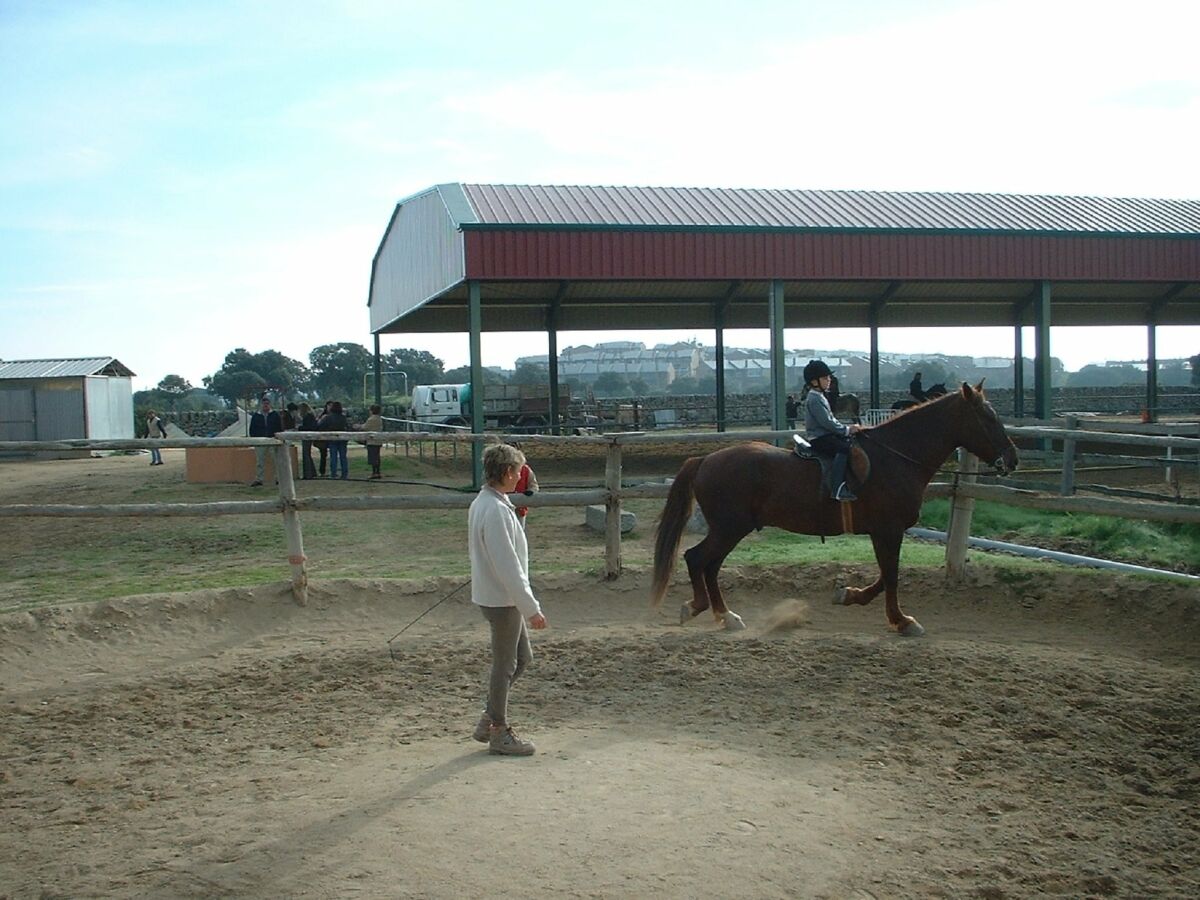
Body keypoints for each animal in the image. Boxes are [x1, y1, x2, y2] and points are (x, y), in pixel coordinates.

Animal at [652, 384, 1017, 638]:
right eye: (988, 418)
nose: (1012, 459)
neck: (895, 457)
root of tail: (706, 459)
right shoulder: (888, 529)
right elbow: (892, 576)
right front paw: (902, 621)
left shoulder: (884, 531)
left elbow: (886, 576)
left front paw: (849, 595)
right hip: (729, 527)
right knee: (697, 560)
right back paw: (700, 608)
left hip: (729, 529)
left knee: (710, 566)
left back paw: (725, 616)